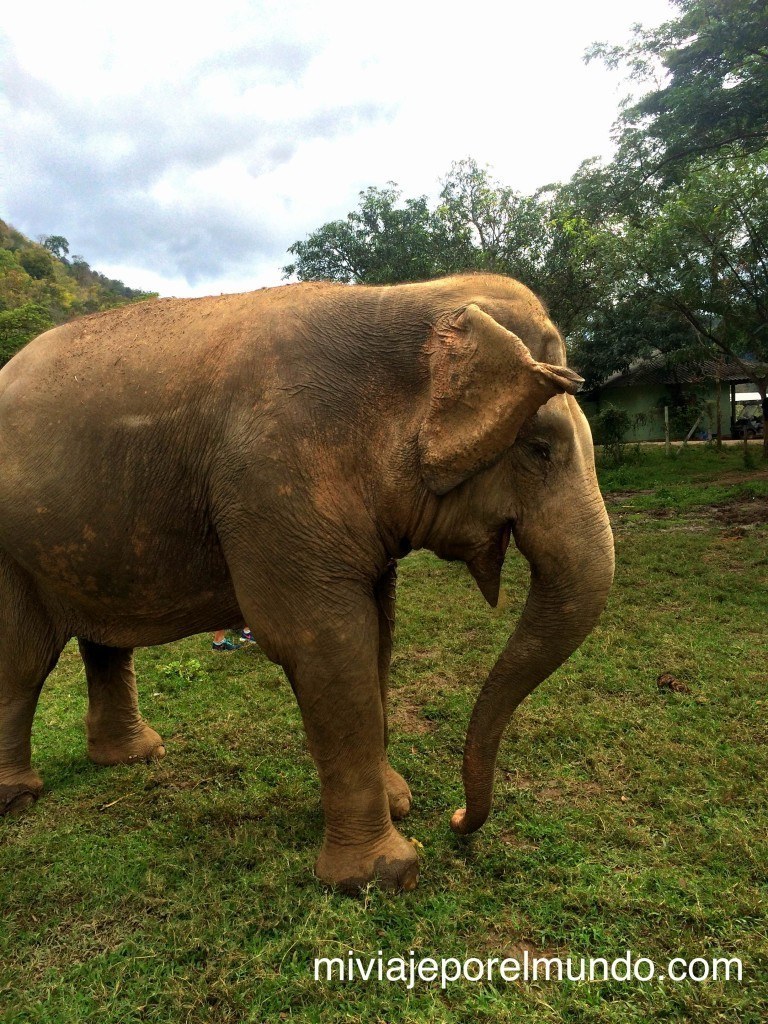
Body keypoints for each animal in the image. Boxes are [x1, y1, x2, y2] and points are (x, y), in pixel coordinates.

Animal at [0, 272, 614, 888]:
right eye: (540, 450)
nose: (459, 820)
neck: (407, 299)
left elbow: (378, 636)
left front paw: (399, 804)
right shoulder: (272, 481)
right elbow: (327, 641)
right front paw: (384, 875)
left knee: (104, 642)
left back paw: (136, 757)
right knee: (23, 661)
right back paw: (19, 800)